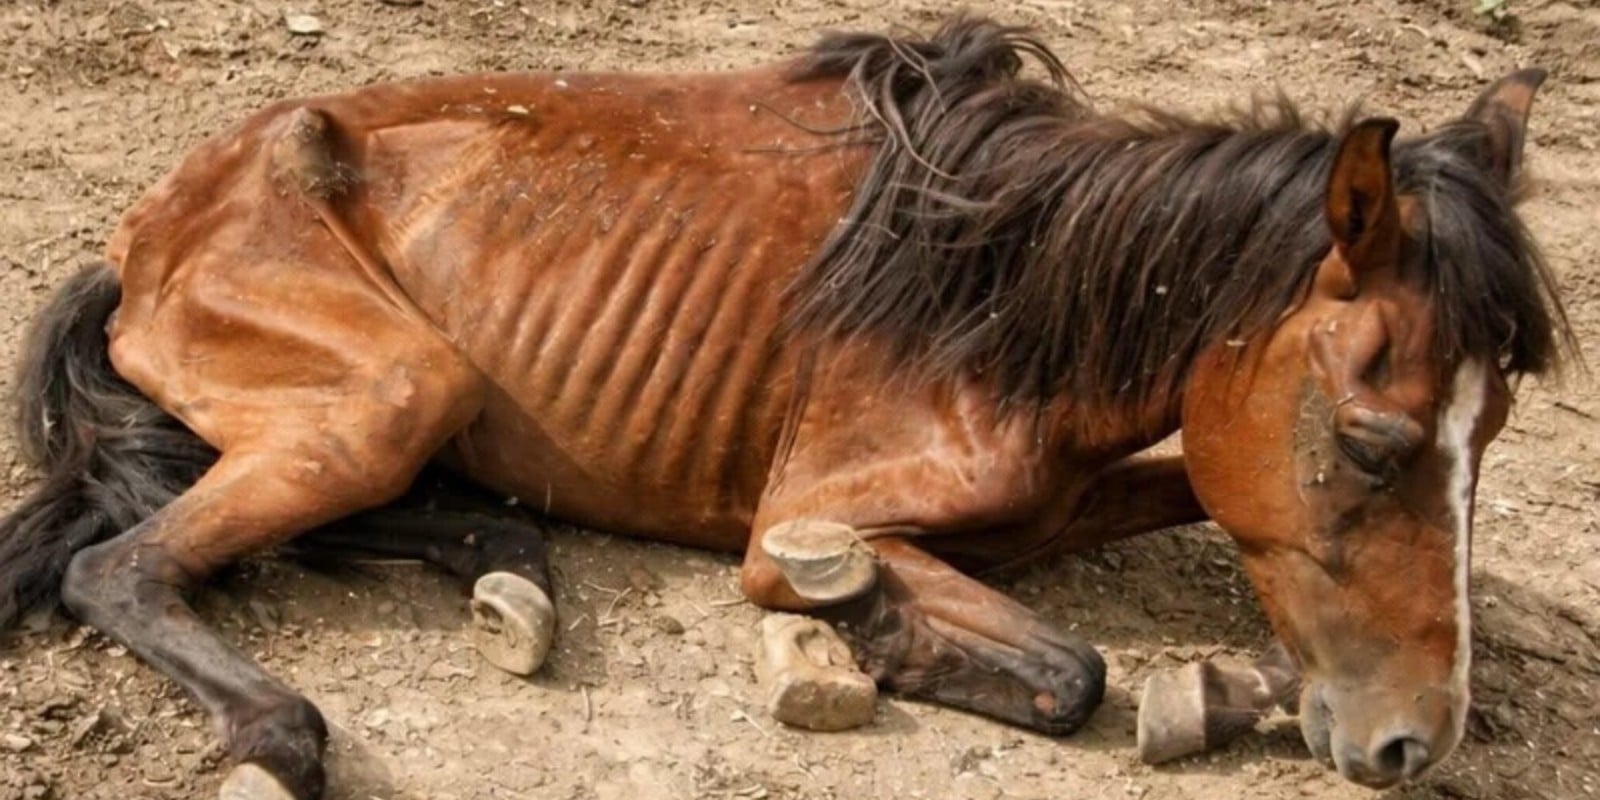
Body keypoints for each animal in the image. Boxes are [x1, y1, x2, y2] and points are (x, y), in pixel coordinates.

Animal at [0, 15, 1568, 799]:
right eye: (1371, 442)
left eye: (1489, 438)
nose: (1413, 745)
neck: (1003, 288)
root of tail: (148, 229)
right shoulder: (805, 515)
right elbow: (1068, 669)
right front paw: (863, 624)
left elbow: (1187, 498)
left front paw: (1227, 683)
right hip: (396, 390)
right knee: (121, 567)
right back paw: (285, 727)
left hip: (397, 411)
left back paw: (512, 576)